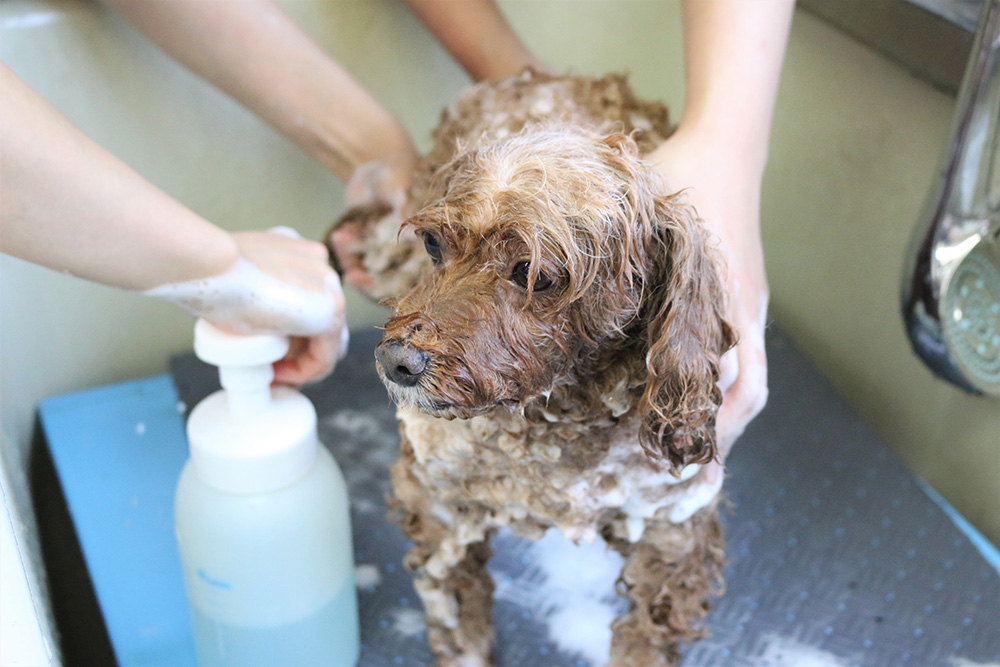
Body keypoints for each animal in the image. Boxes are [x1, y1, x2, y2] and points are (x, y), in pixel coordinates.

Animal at [332, 70, 732, 664]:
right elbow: (459, 625)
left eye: (535, 274)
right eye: (432, 244)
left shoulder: (675, 535)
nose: (395, 359)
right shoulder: (438, 508)